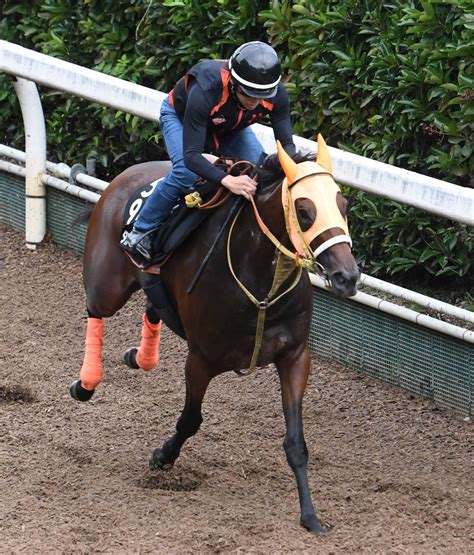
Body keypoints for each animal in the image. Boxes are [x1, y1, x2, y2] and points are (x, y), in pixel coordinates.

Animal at [69, 135, 360, 536]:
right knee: (96, 312)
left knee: (152, 306)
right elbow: (190, 420)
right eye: (304, 210)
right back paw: (86, 383)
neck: (260, 278)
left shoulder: (295, 356)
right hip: (106, 285)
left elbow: (296, 442)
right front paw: (162, 456)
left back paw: (138, 357)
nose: (348, 277)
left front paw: (310, 516)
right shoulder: (201, 359)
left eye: (342, 205)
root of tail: (126, 173)